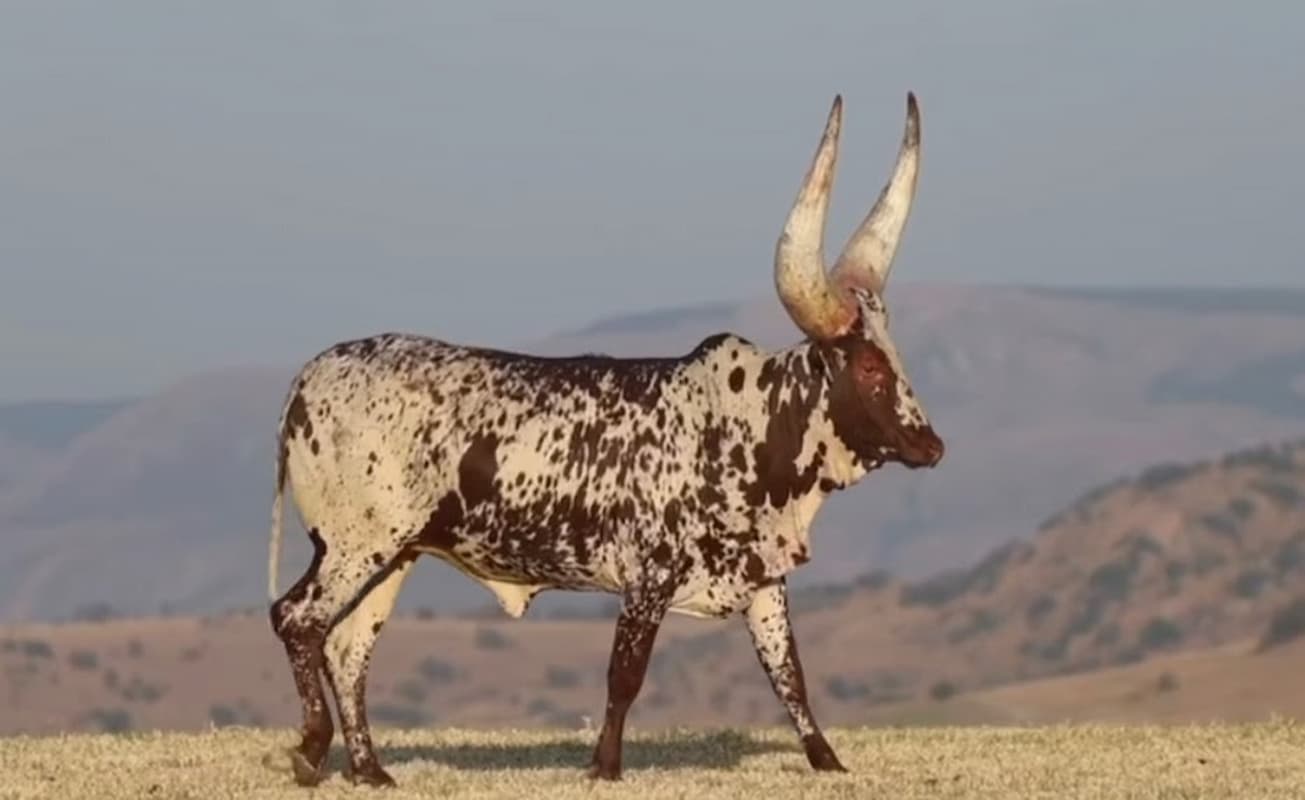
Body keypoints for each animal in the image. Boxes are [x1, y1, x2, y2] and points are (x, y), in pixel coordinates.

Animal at [266, 92, 944, 787]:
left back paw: (370, 769)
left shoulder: (763, 579)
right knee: (297, 620)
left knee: (348, 648)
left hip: (393, 554)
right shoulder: (648, 578)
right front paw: (605, 766)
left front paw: (828, 761)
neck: (749, 422)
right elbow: (625, 676)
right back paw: (311, 750)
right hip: (356, 545)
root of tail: (310, 375)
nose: (931, 446)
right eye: (869, 367)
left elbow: (791, 679)